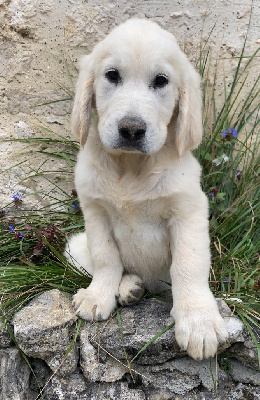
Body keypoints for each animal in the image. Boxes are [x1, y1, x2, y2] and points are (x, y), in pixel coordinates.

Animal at [66, 18, 229, 360]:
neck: (131, 168)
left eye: (161, 81)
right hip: (76, 247)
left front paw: (199, 321)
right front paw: (99, 295)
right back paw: (128, 287)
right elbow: (105, 257)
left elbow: (188, 264)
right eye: (112, 75)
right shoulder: (95, 212)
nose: (131, 129)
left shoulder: (188, 211)